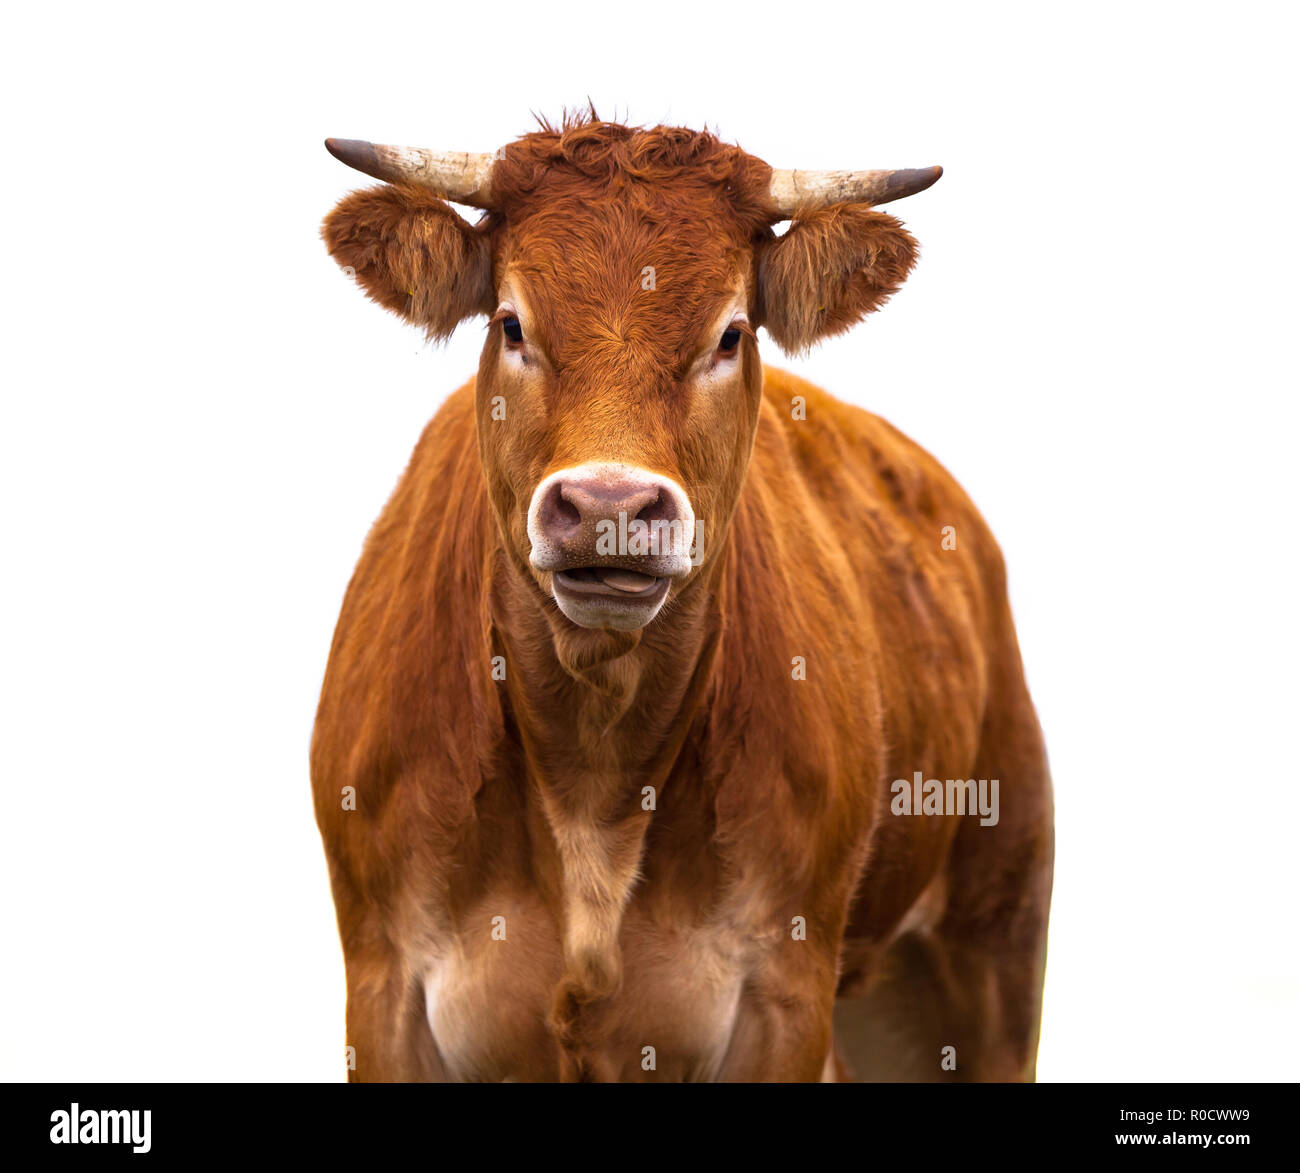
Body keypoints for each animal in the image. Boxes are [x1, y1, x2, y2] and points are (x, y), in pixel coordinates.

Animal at [314, 119, 1055, 1081]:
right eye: (511, 323)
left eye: (731, 334)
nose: (609, 506)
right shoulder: (384, 987)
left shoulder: (784, 995)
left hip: (995, 935)